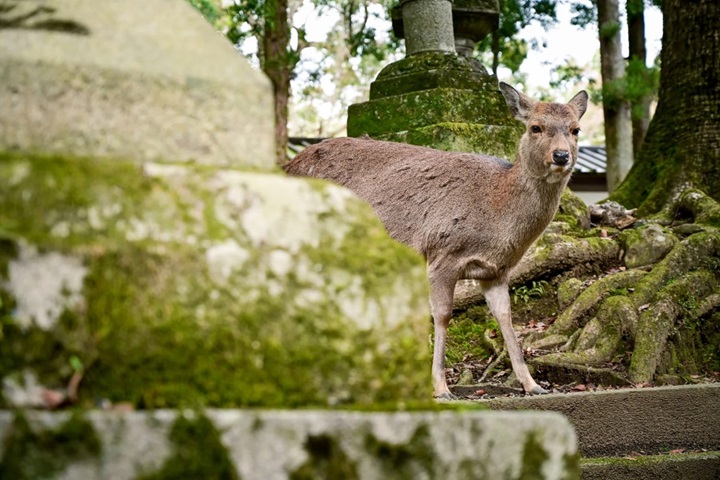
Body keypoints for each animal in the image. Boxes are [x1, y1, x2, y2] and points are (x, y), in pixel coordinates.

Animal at [284, 82, 588, 398]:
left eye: (575, 129)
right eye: (535, 127)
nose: (561, 156)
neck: (497, 212)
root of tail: (286, 167)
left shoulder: (495, 271)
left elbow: (505, 317)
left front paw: (532, 384)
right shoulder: (444, 253)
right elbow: (441, 315)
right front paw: (441, 387)